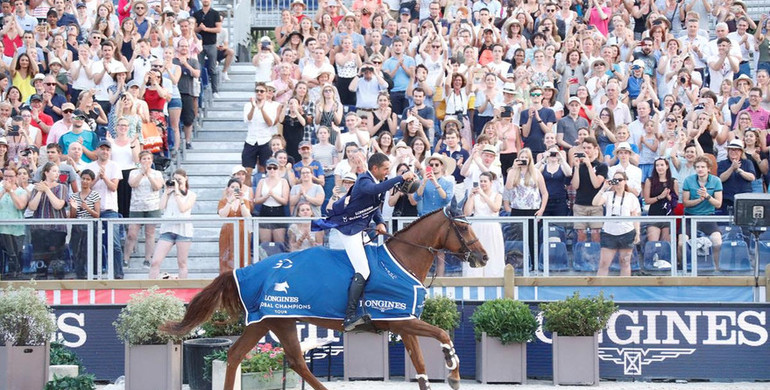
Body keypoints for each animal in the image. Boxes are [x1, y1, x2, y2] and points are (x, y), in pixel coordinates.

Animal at [161, 206, 486, 388]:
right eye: (463, 226)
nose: (484, 257)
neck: (401, 260)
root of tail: (247, 270)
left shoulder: (403, 323)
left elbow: (420, 367)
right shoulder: (400, 320)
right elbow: (443, 334)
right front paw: (454, 374)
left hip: (275, 322)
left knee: (270, 358)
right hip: (271, 320)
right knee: (256, 357)